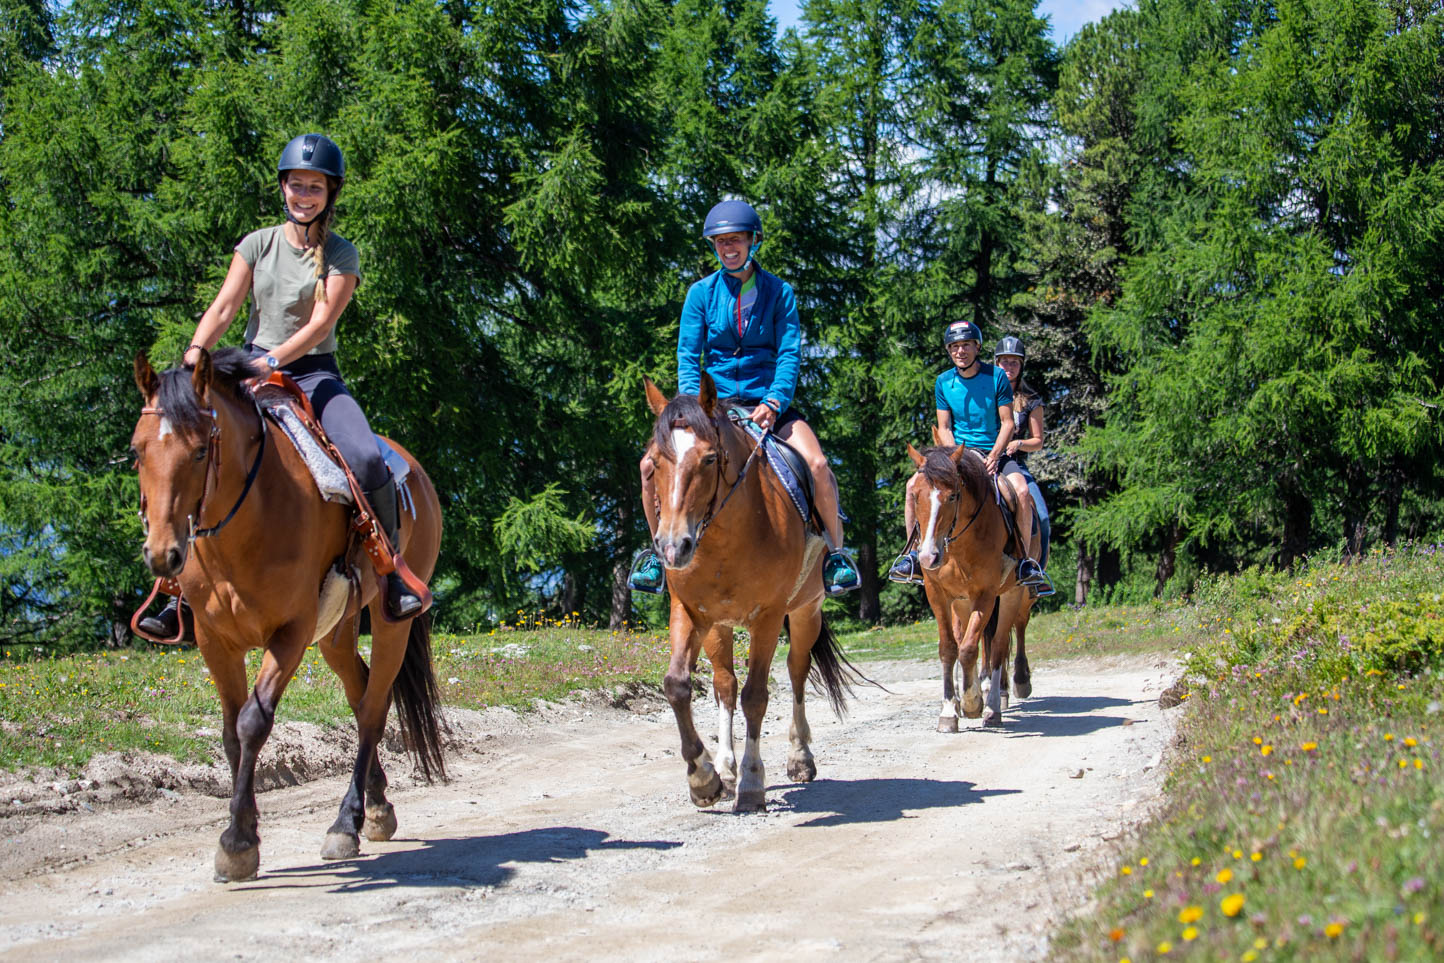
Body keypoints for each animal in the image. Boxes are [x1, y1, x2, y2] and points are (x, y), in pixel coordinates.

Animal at [131, 348, 445, 881]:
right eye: (137, 452)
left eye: (200, 451)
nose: (162, 554)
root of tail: (415, 472)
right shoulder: (216, 640)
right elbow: (230, 735)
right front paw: (247, 830)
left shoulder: (290, 633)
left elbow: (253, 723)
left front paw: (237, 843)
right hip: (336, 633)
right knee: (361, 693)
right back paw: (376, 807)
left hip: (390, 625)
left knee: (373, 708)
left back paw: (345, 823)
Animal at [643, 374, 862, 811]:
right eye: (655, 462)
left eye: (710, 459)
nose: (673, 548)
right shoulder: (690, 611)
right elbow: (678, 685)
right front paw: (703, 778)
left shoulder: (768, 617)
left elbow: (757, 696)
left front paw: (752, 782)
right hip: (718, 627)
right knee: (724, 684)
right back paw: (725, 768)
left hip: (805, 612)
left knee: (796, 672)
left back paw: (799, 758)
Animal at [905, 436, 1036, 731]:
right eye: (915, 495)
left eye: (953, 495)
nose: (928, 557)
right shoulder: (938, 595)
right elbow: (949, 649)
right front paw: (949, 711)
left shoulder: (985, 594)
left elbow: (967, 649)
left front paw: (973, 702)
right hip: (962, 604)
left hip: (1014, 594)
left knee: (1003, 641)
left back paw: (999, 700)